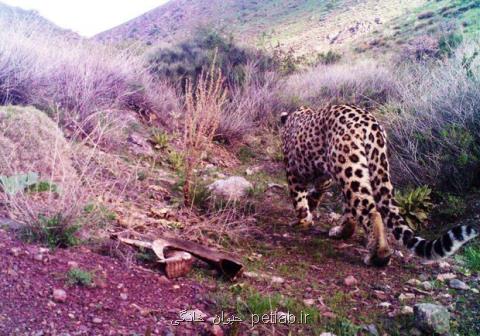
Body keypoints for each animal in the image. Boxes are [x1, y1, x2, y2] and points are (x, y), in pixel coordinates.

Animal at [280, 103, 478, 266]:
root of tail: (371, 124)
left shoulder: (292, 171)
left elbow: (299, 199)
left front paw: (302, 221)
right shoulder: (324, 177)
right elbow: (314, 194)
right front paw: (310, 211)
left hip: (349, 169)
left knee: (371, 211)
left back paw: (379, 255)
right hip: (364, 169)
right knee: (358, 210)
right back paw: (342, 232)